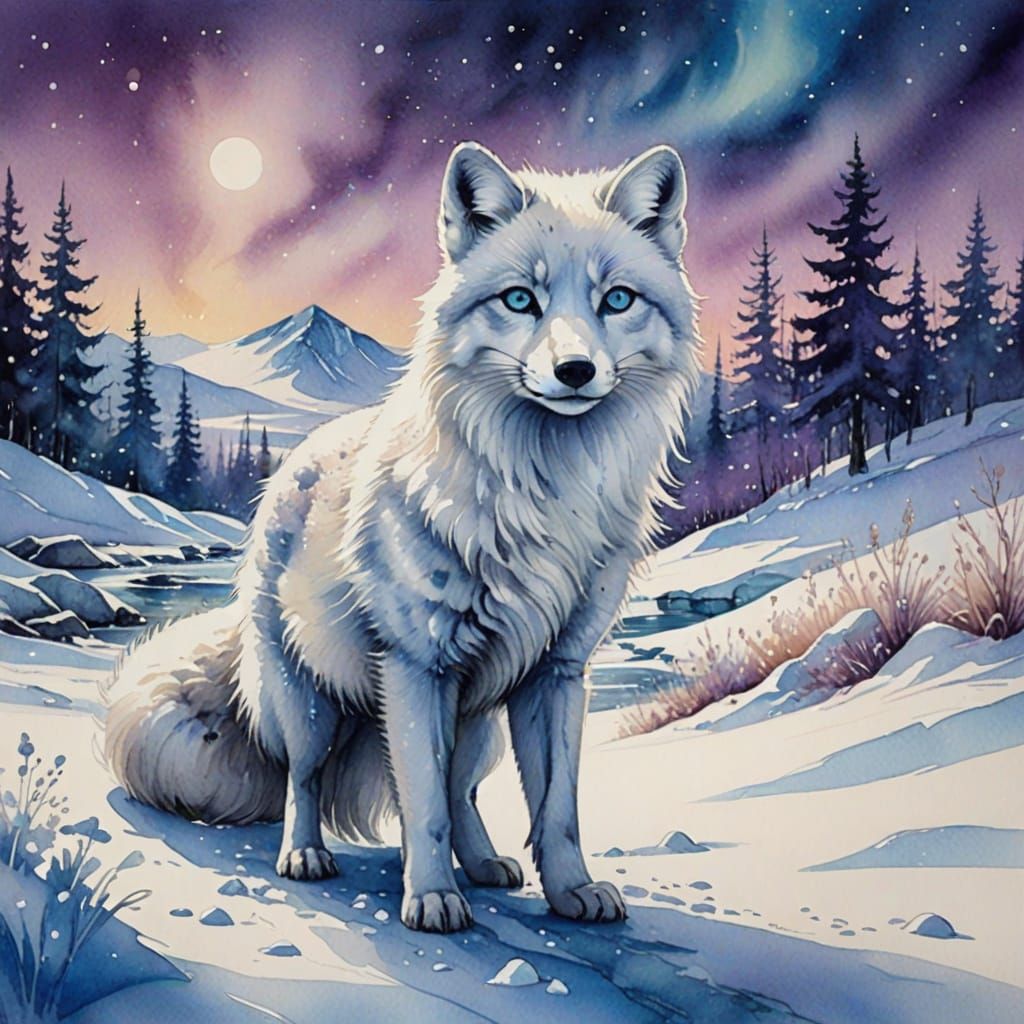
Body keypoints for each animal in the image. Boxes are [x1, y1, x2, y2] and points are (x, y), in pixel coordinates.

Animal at [104, 140, 701, 933]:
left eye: (618, 300)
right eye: (521, 300)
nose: (575, 371)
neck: (542, 492)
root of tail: (295, 461)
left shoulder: (556, 673)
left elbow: (555, 809)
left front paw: (572, 892)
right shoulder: (417, 667)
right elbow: (420, 804)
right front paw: (432, 899)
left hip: (478, 720)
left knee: (461, 790)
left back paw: (484, 866)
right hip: (313, 705)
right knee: (306, 780)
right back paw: (306, 857)